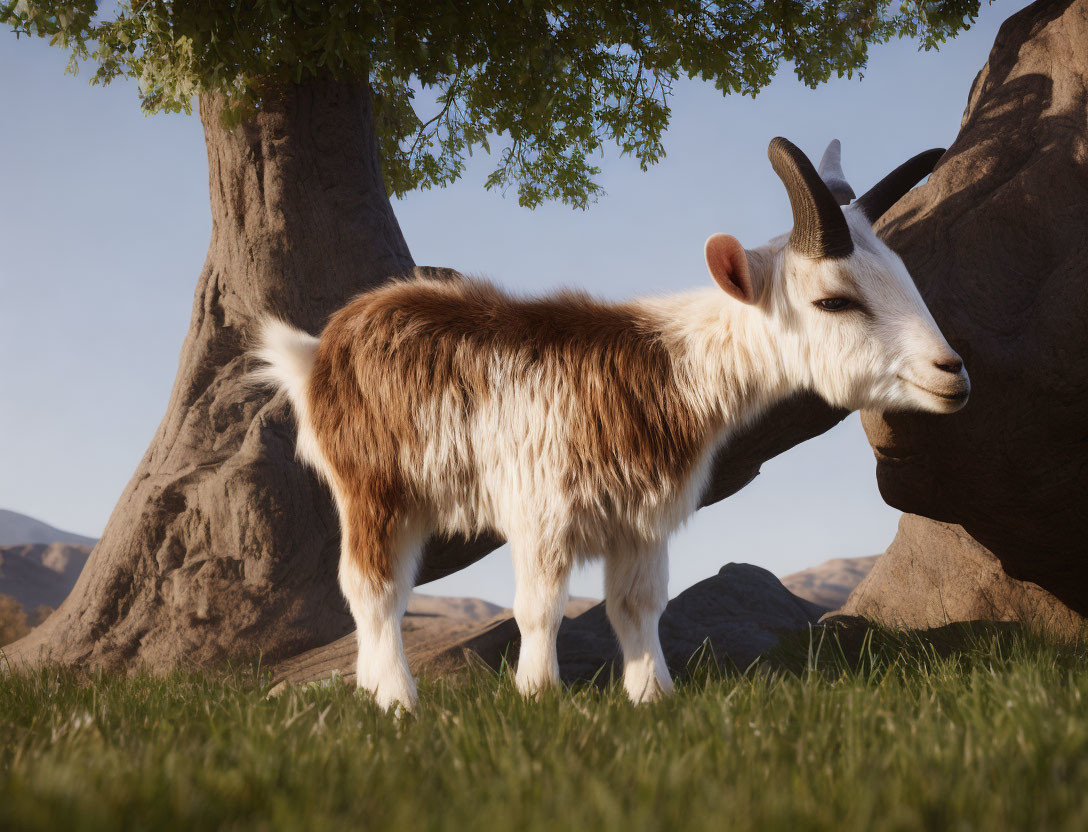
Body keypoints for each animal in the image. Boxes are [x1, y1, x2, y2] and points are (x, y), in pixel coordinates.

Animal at [254, 136, 970, 709]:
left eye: (901, 275)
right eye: (834, 300)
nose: (953, 373)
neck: (664, 367)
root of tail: (320, 349)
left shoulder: (641, 520)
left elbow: (636, 604)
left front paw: (653, 696)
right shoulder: (542, 509)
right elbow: (539, 608)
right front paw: (538, 698)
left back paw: (373, 691)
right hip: (371, 486)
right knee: (373, 590)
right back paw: (398, 701)